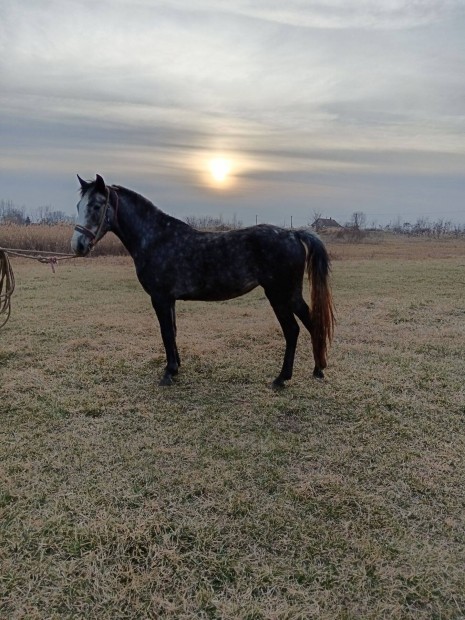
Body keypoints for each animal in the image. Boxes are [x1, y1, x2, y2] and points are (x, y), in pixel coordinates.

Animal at [70, 174, 334, 388]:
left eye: (96, 205)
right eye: (79, 205)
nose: (78, 246)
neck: (157, 238)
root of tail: (293, 233)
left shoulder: (160, 298)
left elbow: (166, 332)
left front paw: (168, 373)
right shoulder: (169, 300)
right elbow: (173, 330)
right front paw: (175, 367)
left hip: (279, 295)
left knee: (292, 330)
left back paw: (282, 379)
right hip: (291, 295)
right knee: (312, 322)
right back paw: (318, 369)